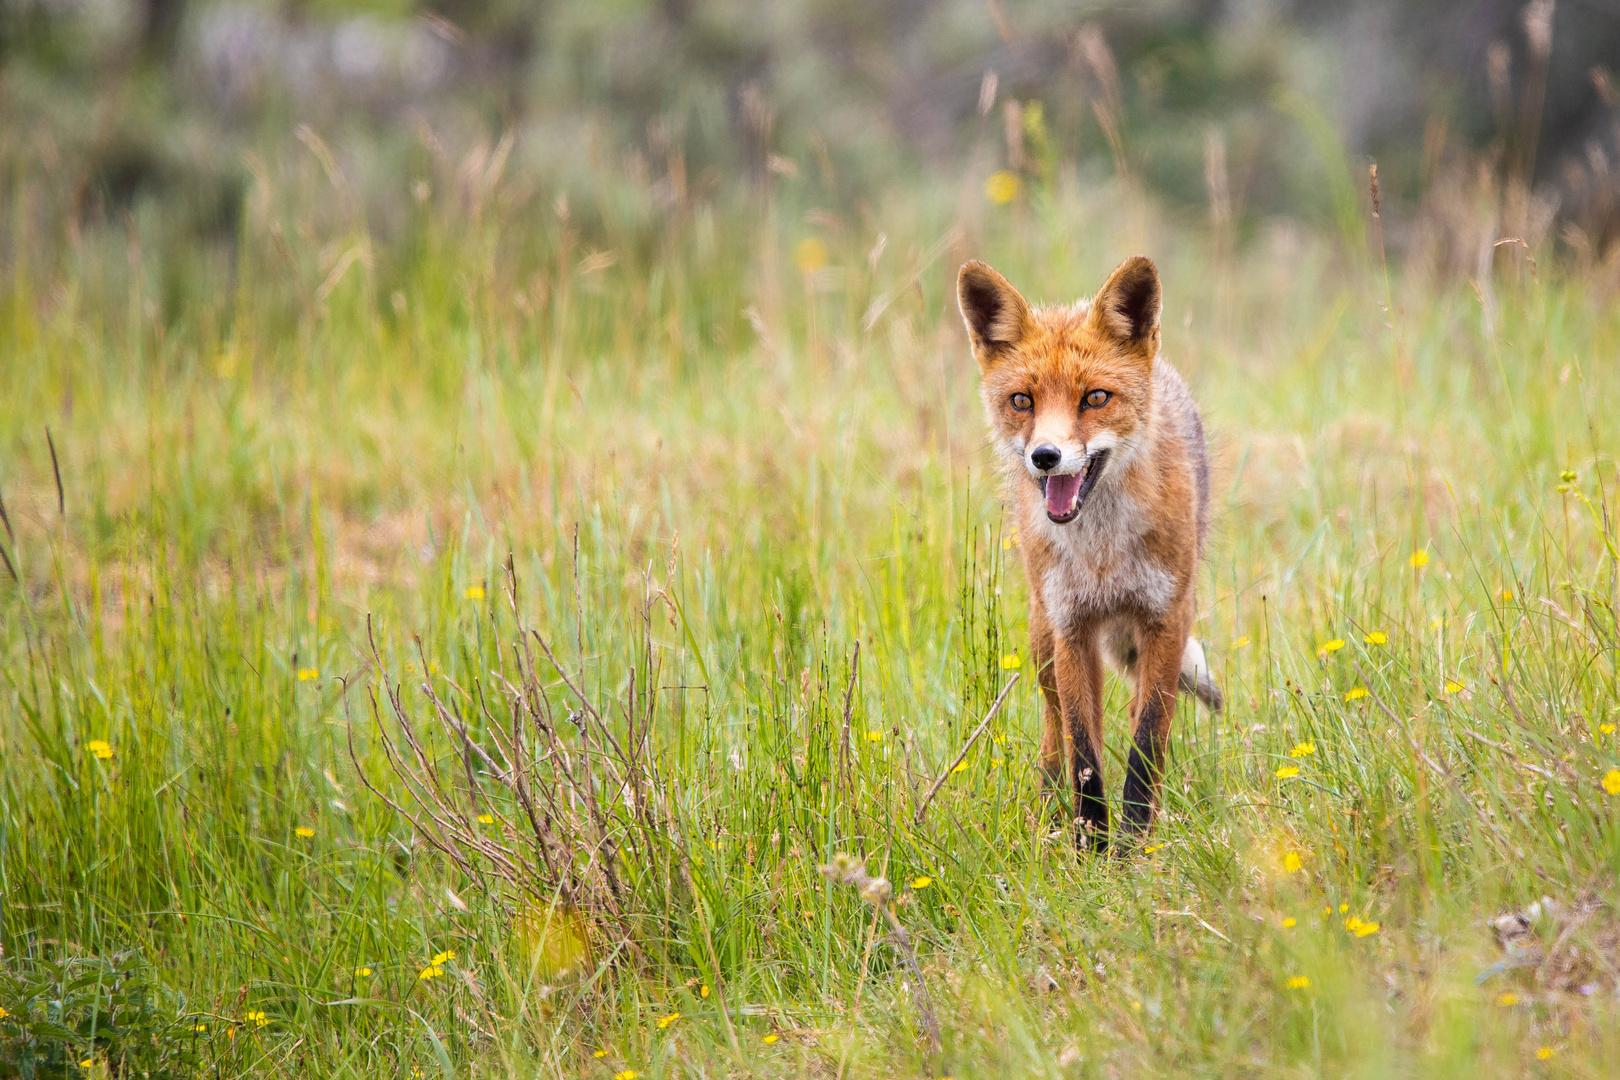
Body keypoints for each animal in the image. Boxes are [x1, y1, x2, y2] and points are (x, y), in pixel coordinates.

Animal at [952, 255, 1218, 854]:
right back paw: (1051, 816)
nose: (1045, 456)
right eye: (1022, 401)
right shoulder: (1072, 624)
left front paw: (1133, 845)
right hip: (1043, 638)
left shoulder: (1165, 618)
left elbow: (1146, 742)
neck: (1102, 555)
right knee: (1055, 731)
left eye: (1095, 397)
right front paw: (1091, 845)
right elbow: (1084, 751)